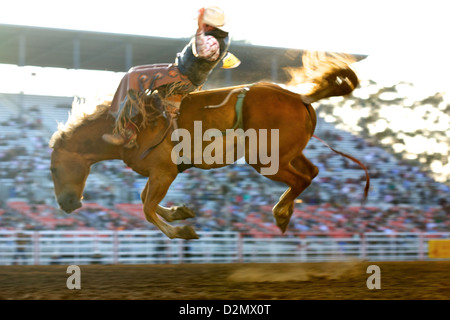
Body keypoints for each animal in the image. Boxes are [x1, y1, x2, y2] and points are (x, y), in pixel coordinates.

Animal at [49, 52, 366, 239]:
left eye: (52, 169)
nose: (66, 205)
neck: (132, 126)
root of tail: (299, 97)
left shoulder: (164, 171)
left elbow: (147, 208)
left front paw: (182, 231)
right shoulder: (159, 173)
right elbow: (143, 199)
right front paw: (180, 212)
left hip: (266, 160)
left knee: (300, 179)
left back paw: (280, 214)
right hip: (288, 153)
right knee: (311, 173)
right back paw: (285, 214)